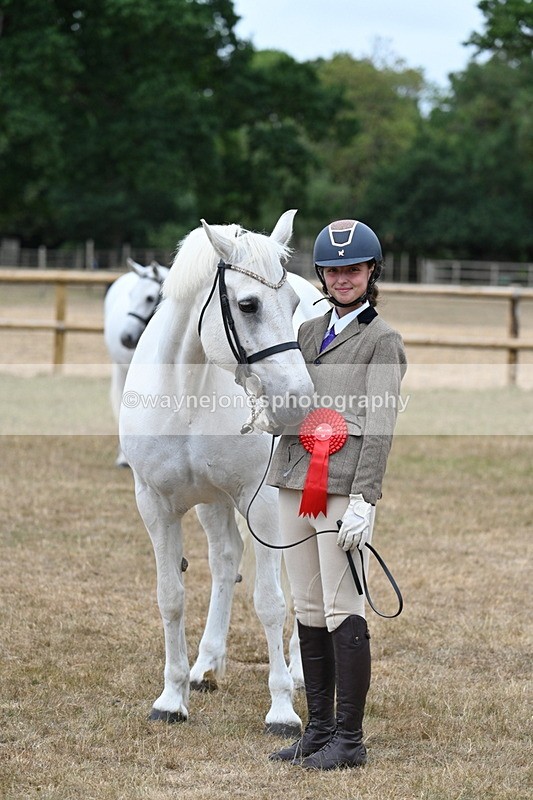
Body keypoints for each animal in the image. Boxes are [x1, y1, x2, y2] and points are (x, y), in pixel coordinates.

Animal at [119, 210, 316, 734]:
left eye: (291, 304)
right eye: (247, 305)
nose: (299, 403)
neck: (188, 392)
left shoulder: (263, 502)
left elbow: (270, 602)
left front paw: (282, 710)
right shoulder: (155, 505)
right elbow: (171, 596)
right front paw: (171, 698)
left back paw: (299, 671)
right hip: (212, 503)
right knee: (226, 561)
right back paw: (205, 666)